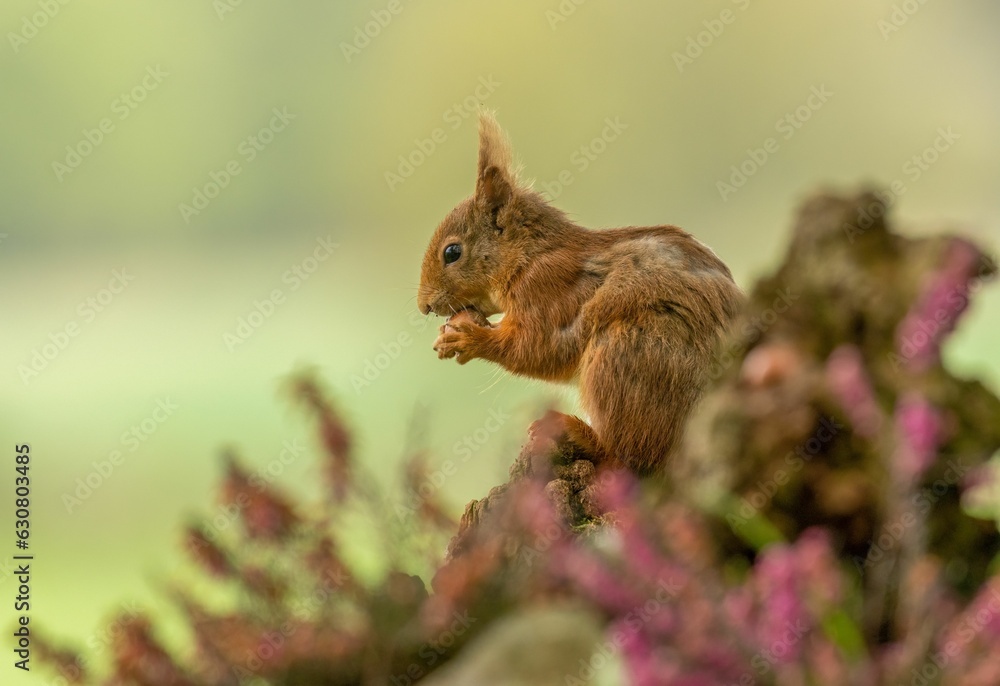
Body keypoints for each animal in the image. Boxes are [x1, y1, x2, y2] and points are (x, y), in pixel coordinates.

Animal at [417, 113, 744, 474]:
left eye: (452, 252)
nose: (423, 306)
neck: (529, 255)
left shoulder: (549, 292)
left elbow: (538, 349)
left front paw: (467, 339)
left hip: (627, 353)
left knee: (630, 457)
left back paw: (578, 435)